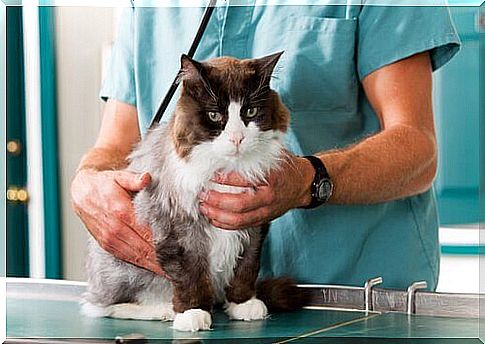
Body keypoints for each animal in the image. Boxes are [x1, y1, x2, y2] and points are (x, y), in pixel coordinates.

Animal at [81, 52, 304, 332]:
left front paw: (243, 303)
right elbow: (190, 275)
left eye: (250, 111)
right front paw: (193, 313)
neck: (226, 169)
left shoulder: (253, 224)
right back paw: (163, 310)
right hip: (122, 271)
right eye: (214, 115)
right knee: (103, 306)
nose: (237, 138)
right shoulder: (179, 231)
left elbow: (246, 267)